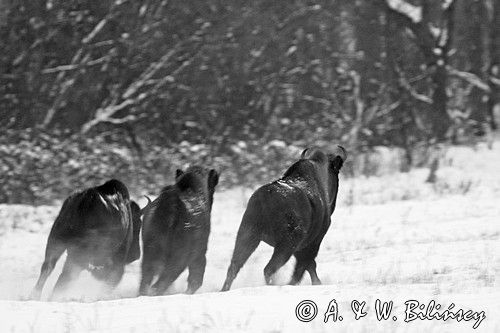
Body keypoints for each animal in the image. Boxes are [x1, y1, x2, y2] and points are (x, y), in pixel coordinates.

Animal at [141, 165, 219, 294]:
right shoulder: (199, 253)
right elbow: (196, 280)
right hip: (179, 257)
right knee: (160, 284)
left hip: (149, 253)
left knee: (145, 283)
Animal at [221, 146, 346, 290]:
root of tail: (264, 199)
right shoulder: (313, 241)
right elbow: (307, 264)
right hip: (286, 245)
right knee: (269, 269)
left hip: (248, 236)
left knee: (234, 267)